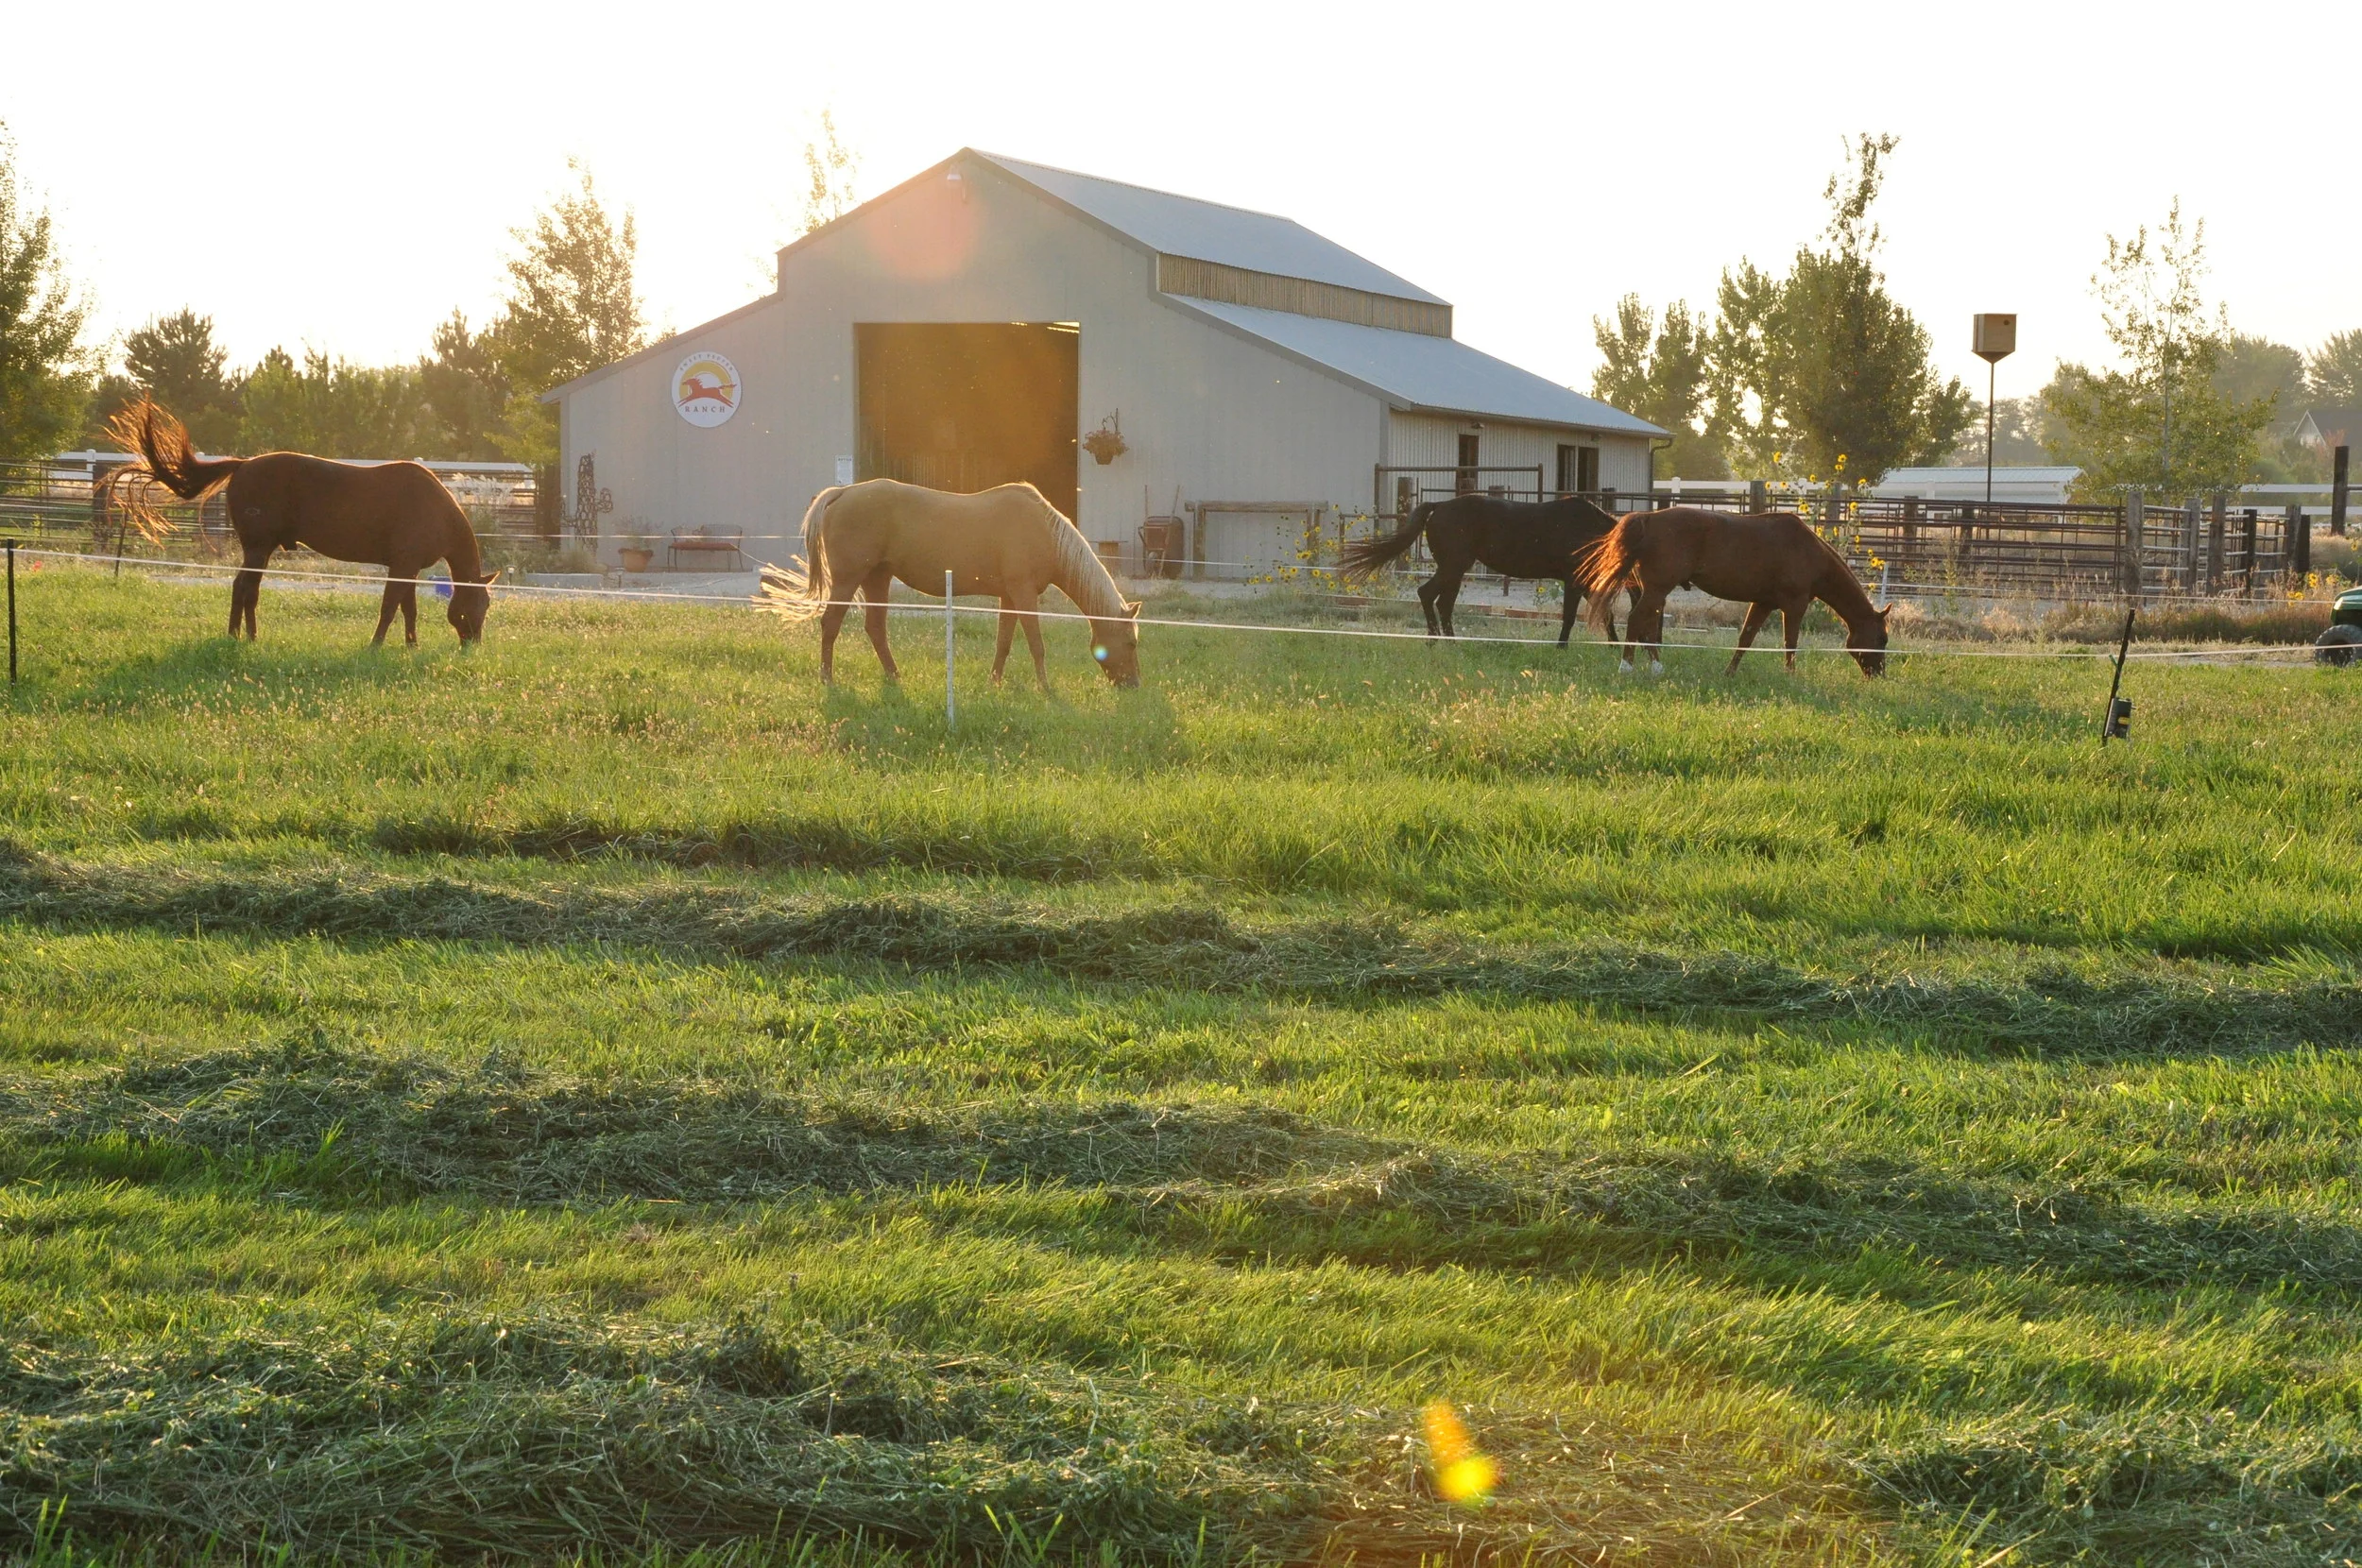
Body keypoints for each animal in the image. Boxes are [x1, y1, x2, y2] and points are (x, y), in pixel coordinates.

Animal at [106, 399, 496, 646]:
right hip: (258, 548)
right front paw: (376, 645)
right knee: (244, 588)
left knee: (247, 590)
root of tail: (243, 464)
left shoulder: (407, 568)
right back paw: (240, 638)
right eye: (482, 603)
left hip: (260, 551)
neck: (435, 508)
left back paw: (247, 637)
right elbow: (389, 608)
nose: (473, 644)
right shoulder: (402, 566)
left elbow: (407, 610)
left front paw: (411, 646)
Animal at [755, 478, 1141, 688]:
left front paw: (994, 682)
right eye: (1132, 643)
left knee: (875, 629)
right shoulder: (1023, 594)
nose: (1133, 685)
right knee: (831, 624)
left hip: (878, 578)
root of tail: (843, 492)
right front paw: (1045, 689)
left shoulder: (1009, 596)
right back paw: (828, 680)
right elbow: (1036, 644)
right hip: (849, 579)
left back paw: (895, 677)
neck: (1044, 530)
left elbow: (1004, 643)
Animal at [1336, 493, 1625, 646]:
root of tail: (1439, 506)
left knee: (1440, 602)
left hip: (1453, 570)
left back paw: (1445, 641)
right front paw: (1562, 647)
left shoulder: (1584, 582)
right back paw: (1441, 641)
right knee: (1430, 596)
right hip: (1453, 567)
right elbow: (1570, 617)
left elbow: (1605, 613)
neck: (1589, 528)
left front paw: (1615, 646)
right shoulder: (1574, 580)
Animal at [1578, 507, 1890, 677]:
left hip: (1654, 592)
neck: (1809, 552)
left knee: (1647, 625)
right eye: (1882, 639)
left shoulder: (1763, 603)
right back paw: (1627, 668)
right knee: (1637, 621)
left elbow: (1746, 639)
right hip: (1657, 590)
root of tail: (1649, 518)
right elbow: (1790, 642)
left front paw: (1729, 673)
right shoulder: (1795, 605)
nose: (1878, 674)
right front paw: (1790, 674)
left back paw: (1656, 667)